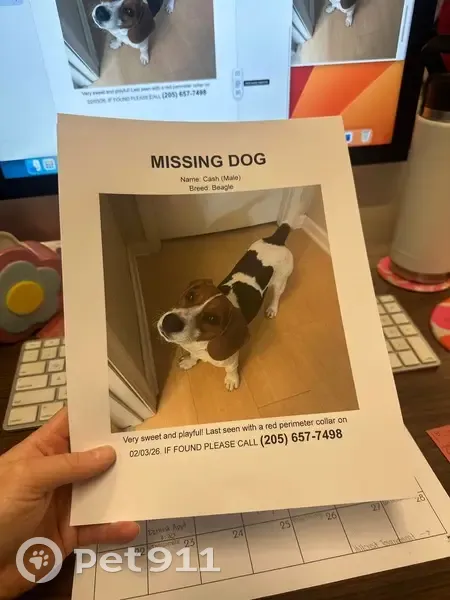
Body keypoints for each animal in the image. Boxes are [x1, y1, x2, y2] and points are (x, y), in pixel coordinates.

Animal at [157, 224, 294, 391]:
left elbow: (231, 369)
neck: (198, 344)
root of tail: (277, 239)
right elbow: (194, 357)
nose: (169, 321)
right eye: (190, 296)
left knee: (276, 296)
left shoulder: (231, 360)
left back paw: (272, 309)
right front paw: (190, 361)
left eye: (212, 318)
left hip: (281, 281)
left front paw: (231, 380)